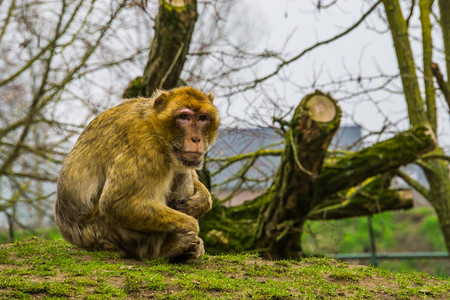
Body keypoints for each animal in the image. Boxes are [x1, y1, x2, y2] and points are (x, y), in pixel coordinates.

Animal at [54, 86, 220, 262]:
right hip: (108, 234)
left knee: (182, 173)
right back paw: (166, 249)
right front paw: (191, 225)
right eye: (184, 117)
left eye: (202, 118)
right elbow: (117, 203)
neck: (156, 130)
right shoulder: (144, 146)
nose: (196, 139)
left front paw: (202, 201)